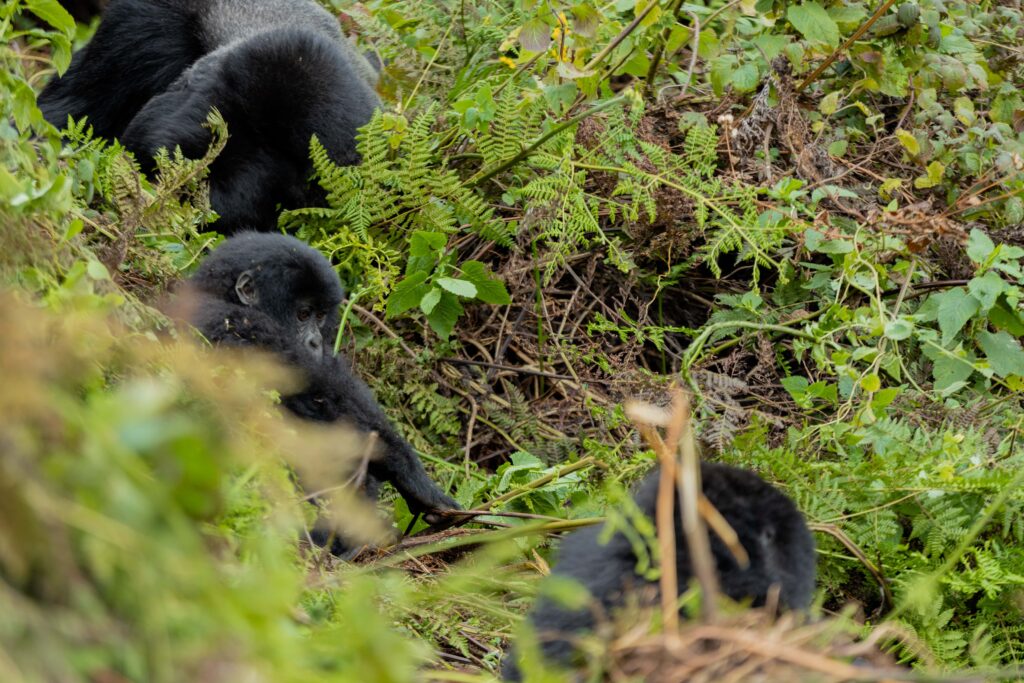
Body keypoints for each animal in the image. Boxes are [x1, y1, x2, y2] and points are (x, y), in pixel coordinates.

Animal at [181, 232, 459, 553]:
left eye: (320, 315)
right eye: (303, 314)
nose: (315, 342)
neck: (219, 293)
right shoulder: (237, 325)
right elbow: (318, 395)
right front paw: (412, 475)